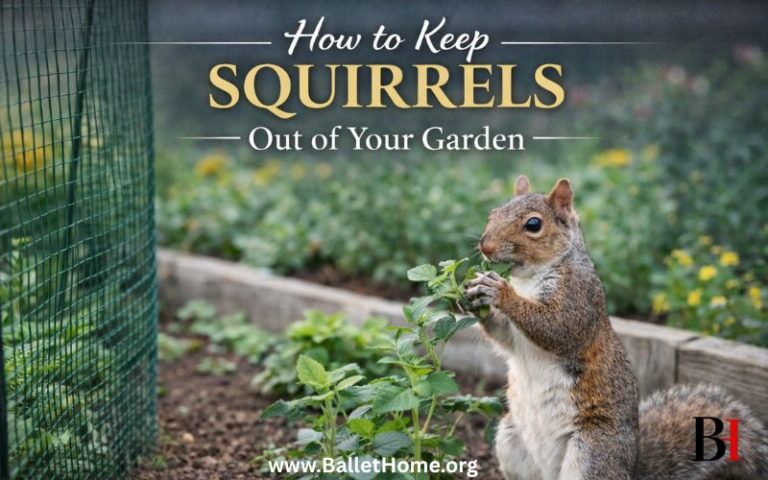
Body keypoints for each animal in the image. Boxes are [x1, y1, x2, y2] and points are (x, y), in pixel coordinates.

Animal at [464, 175, 768, 480]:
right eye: (492, 213)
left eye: (534, 224)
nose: (485, 246)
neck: (528, 280)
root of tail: (630, 470)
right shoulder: (515, 335)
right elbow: (505, 337)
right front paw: (473, 295)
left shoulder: (580, 297)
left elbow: (557, 328)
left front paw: (499, 292)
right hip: (510, 439)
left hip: (591, 452)